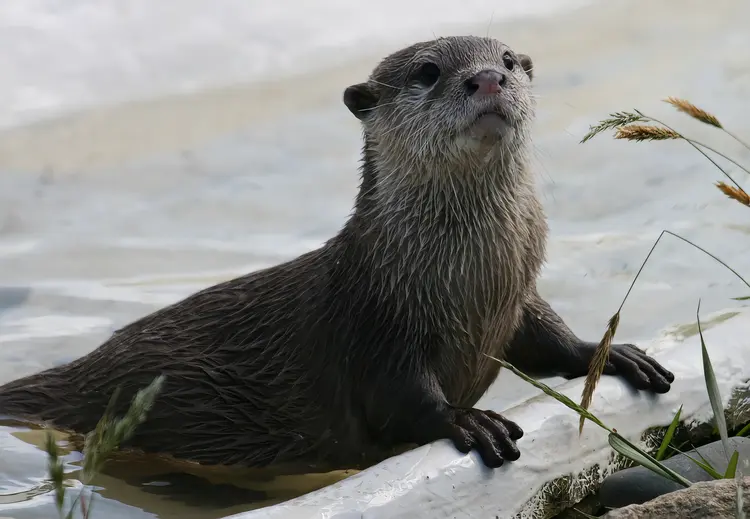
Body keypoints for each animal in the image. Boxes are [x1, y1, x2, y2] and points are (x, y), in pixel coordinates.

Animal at [0, 36, 676, 472]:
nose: (487, 78)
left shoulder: (517, 299)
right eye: (428, 71)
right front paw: (464, 421)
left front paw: (611, 354)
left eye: (509, 59)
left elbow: (547, 340)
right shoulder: (375, 324)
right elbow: (400, 399)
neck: (470, 278)